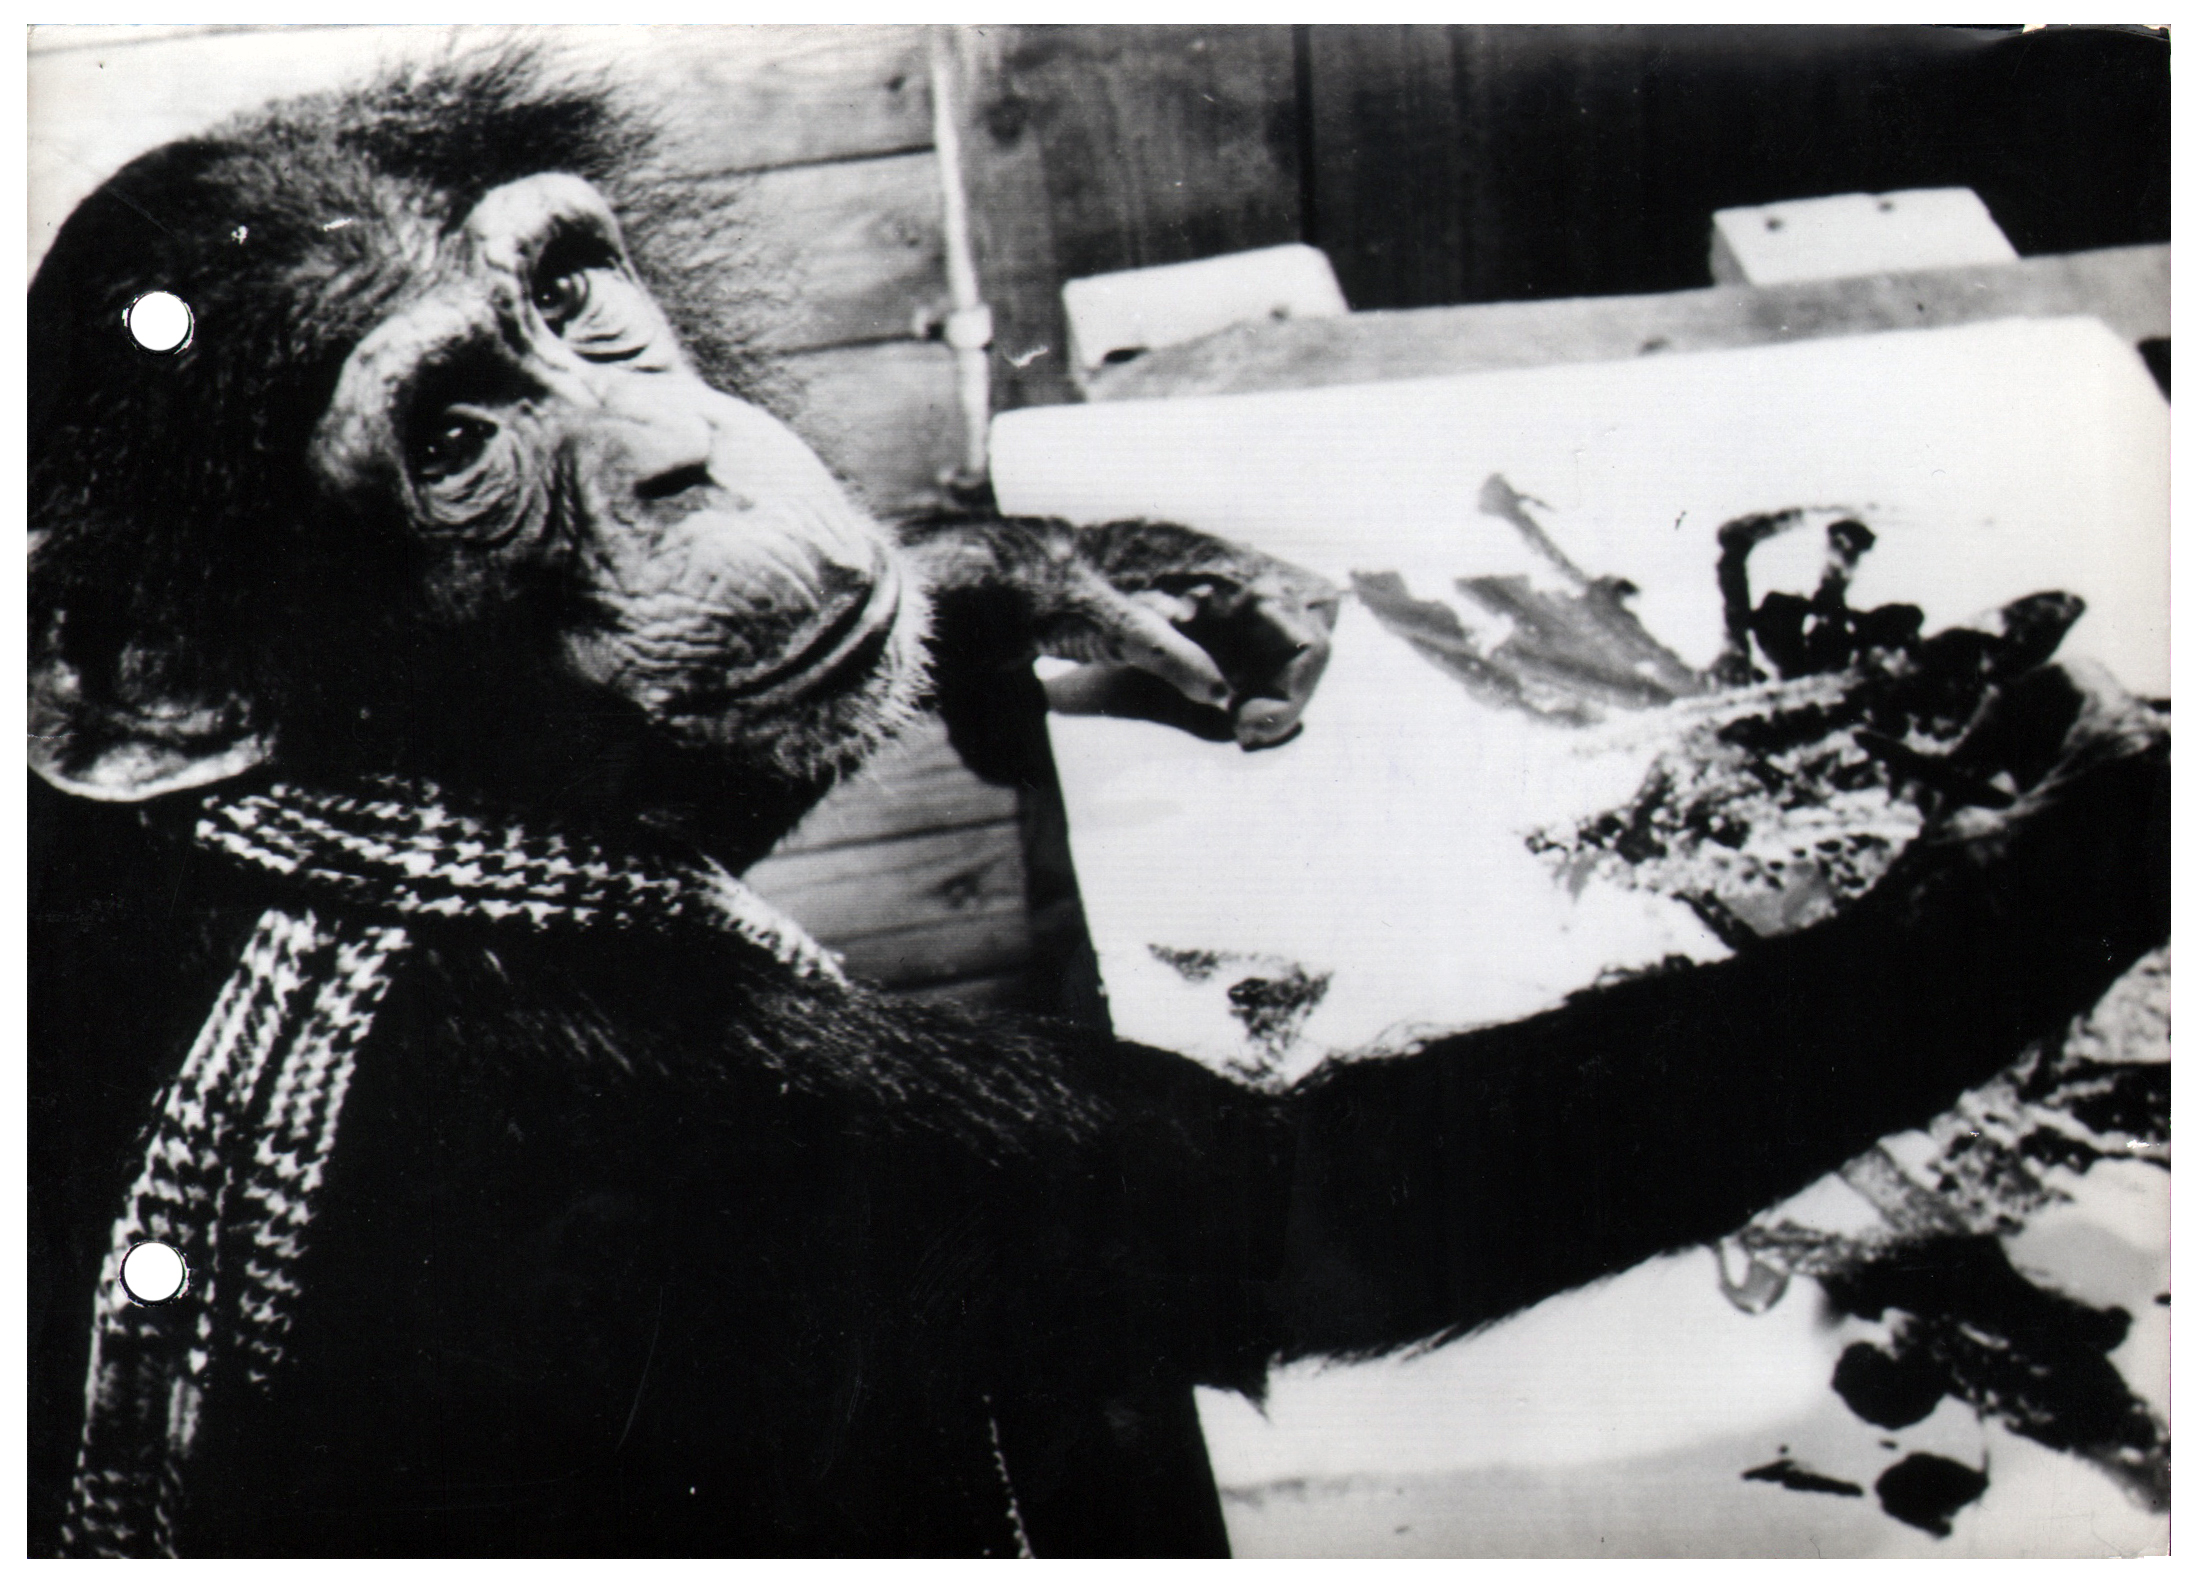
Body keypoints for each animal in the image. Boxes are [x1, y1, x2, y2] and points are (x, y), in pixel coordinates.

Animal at [27, 50, 2167, 1557]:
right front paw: (2090, 835)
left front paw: (1066, 576)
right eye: (457, 436)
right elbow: (1315, 1203)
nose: (671, 459)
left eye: (571, 294)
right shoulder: (682, 1109)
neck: (382, 818)